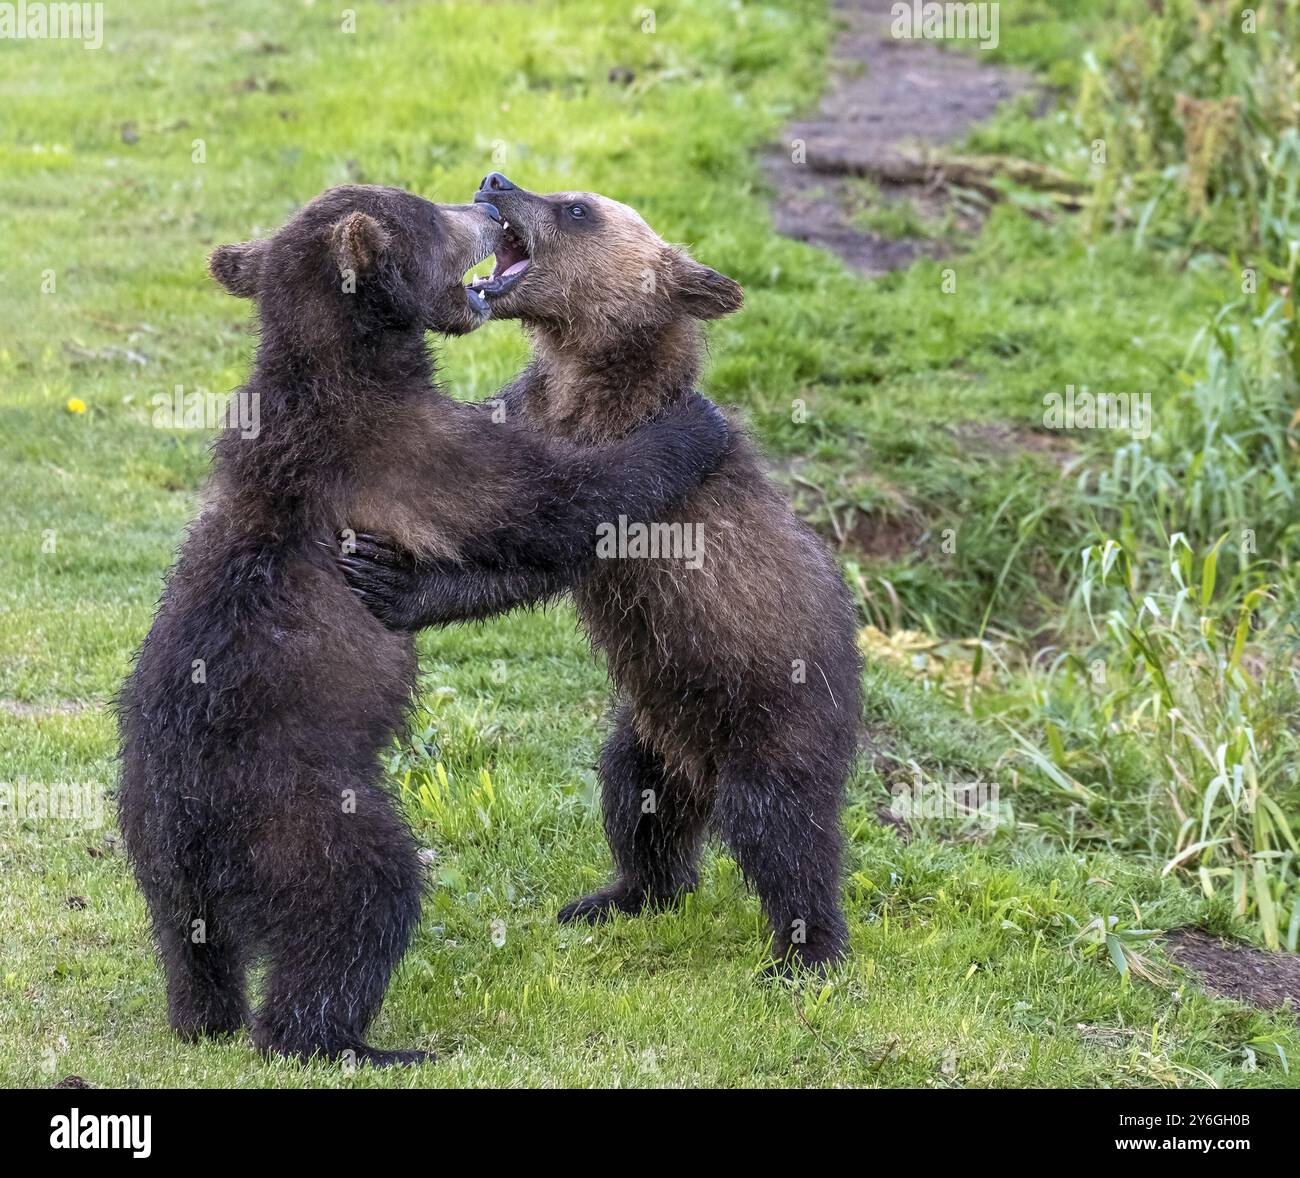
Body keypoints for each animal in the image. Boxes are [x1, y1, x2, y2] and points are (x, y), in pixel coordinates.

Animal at [115, 183, 733, 1066]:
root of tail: (186, 820)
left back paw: (207, 1015)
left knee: (192, 953)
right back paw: (351, 1041)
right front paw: (694, 424)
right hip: (301, 816)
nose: (485, 196)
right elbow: (551, 499)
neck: (346, 362)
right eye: (432, 215)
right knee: (361, 899)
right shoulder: (409, 452)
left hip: (152, 855)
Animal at [340, 174, 863, 972]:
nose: (495, 181)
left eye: (578, 208)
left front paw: (394, 581)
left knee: (783, 829)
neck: (588, 380)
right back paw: (617, 896)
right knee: (637, 801)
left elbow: (546, 542)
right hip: (654, 725)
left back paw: (807, 953)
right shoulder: (523, 413)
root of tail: (703, 764)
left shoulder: (638, 489)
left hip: (775, 713)